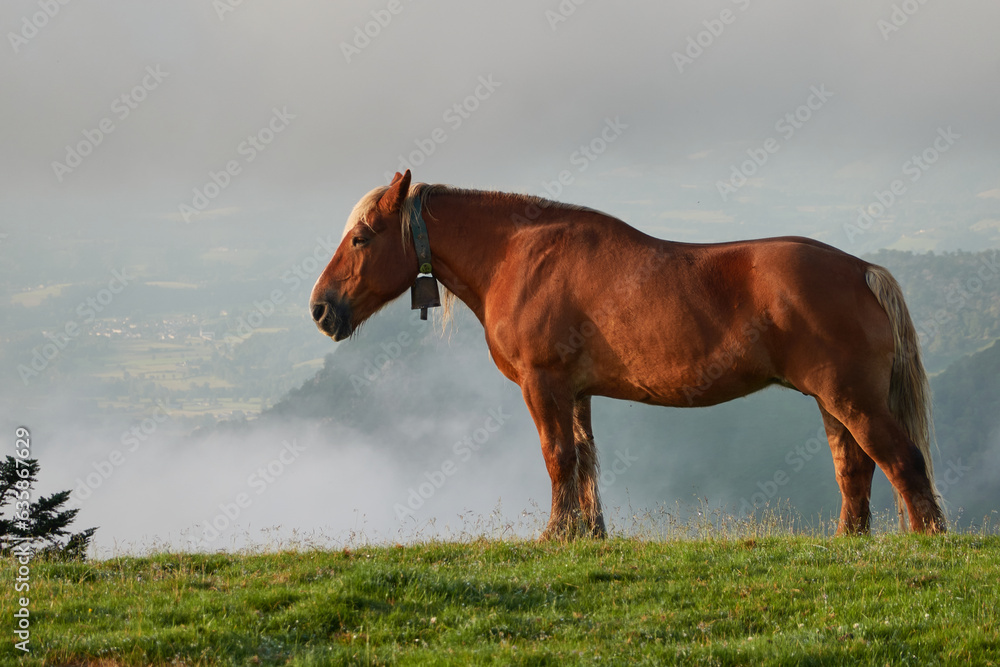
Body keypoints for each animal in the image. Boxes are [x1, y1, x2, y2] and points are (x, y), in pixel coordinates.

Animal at [310, 170, 946, 539]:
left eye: (361, 238)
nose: (321, 309)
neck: (520, 255)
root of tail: (861, 271)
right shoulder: (576, 392)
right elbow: (585, 460)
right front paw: (589, 533)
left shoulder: (543, 385)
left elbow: (558, 458)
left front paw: (557, 535)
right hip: (832, 401)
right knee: (854, 467)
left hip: (851, 398)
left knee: (902, 461)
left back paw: (927, 541)